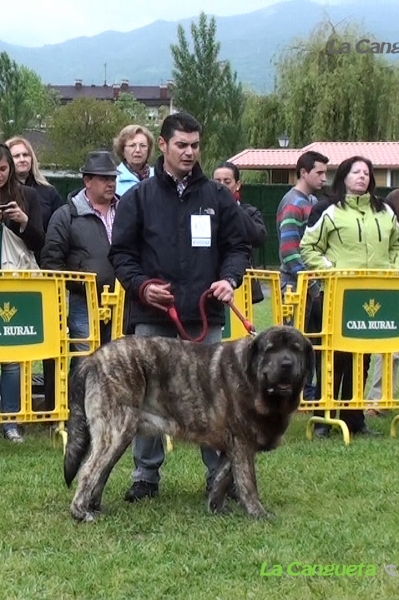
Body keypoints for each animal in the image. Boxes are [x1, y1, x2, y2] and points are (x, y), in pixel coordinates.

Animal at [64, 324, 314, 520]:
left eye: (296, 349)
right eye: (270, 350)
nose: (286, 364)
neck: (253, 380)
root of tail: (93, 359)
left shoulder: (231, 447)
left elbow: (221, 479)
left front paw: (216, 509)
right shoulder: (242, 444)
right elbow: (248, 483)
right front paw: (258, 513)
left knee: (102, 472)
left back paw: (95, 507)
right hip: (117, 430)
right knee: (89, 470)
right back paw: (80, 512)